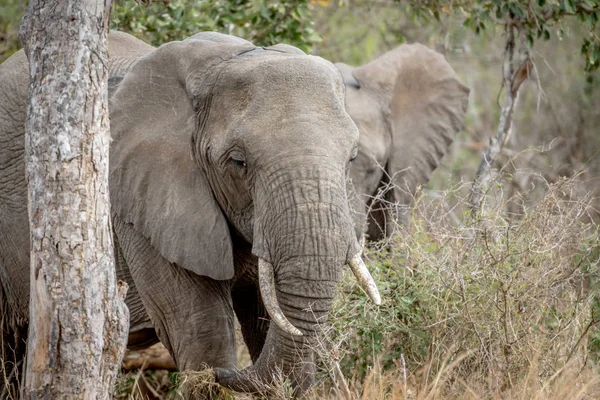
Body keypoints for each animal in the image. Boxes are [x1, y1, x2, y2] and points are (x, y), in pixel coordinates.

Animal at [0, 32, 380, 396]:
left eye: (351, 158)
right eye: (238, 162)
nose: (230, 373)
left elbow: (269, 318)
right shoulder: (139, 207)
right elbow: (201, 329)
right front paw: (211, 372)